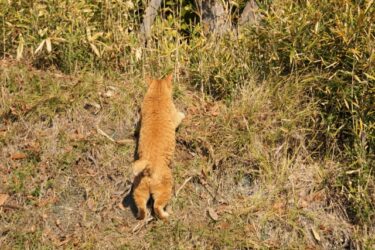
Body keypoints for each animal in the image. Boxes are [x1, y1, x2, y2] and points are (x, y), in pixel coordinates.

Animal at [132, 73, 185, 220]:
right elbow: (180, 116)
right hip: (165, 187)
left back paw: (140, 215)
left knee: (142, 208)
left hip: (139, 189)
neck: (157, 94)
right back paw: (166, 214)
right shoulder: (174, 117)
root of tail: (149, 167)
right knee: (157, 207)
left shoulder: (140, 120)